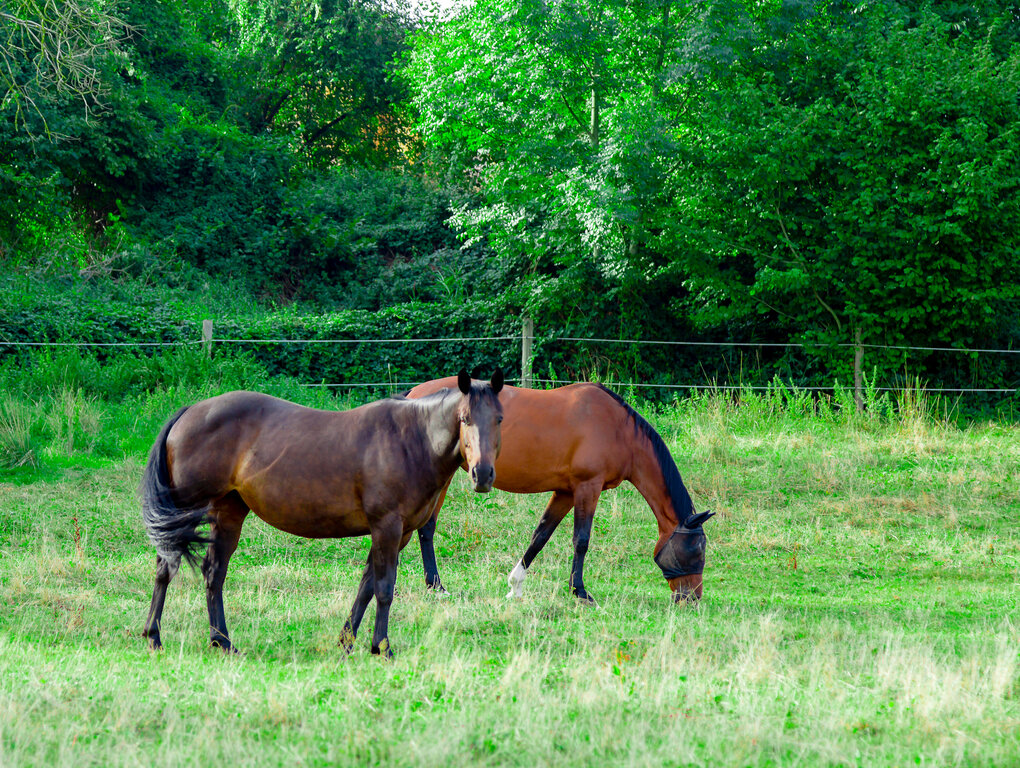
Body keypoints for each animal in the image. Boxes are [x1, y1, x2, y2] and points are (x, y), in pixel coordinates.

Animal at [140, 370, 504, 657]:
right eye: (464, 418)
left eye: (499, 419)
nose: (483, 475)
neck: (410, 440)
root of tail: (189, 412)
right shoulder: (386, 526)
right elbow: (384, 588)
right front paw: (382, 647)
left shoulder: (399, 534)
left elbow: (366, 586)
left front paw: (347, 642)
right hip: (183, 513)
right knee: (166, 567)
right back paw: (154, 636)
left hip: (229, 513)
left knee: (214, 572)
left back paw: (223, 642)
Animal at [404, 378, 713, 603]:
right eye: (697, 549)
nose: (692, 598)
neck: (618, 429)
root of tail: (413, 395)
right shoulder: (588, 487)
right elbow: (581, 540)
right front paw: (580, 591)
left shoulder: (566, 492)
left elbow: (540, 535)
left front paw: (515, 586)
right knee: (427, 528)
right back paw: (436, 586)